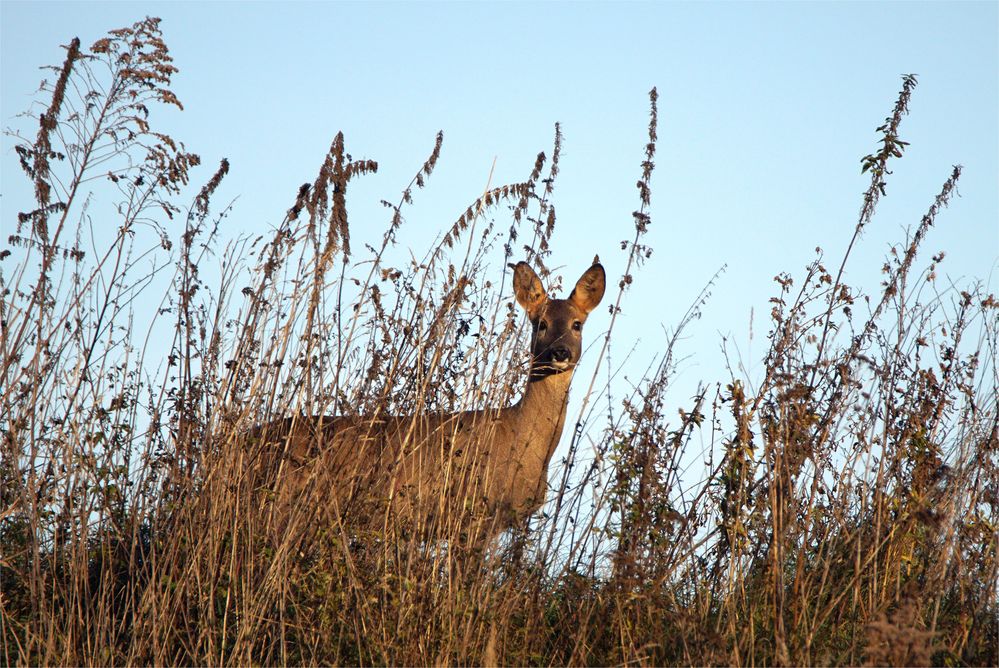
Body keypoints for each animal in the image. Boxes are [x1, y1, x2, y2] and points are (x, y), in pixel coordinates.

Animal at [250, 258, 604, 544]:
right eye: (540, 323)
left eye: (577, 324)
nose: (560, 352)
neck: (521, 437)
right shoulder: (473, 517)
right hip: (284, 508)